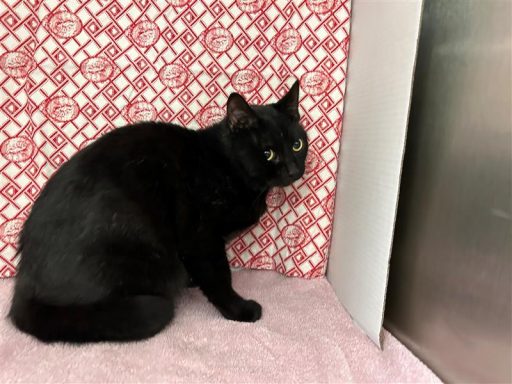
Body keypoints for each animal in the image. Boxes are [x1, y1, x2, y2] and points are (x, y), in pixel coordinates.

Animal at [8, 80, 308, 342]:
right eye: (268, 153)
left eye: (297, 145)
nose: (294, 170)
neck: (228, 166)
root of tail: (24, 287)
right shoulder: (201, 237)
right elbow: (219, 276)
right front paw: (239, 310)